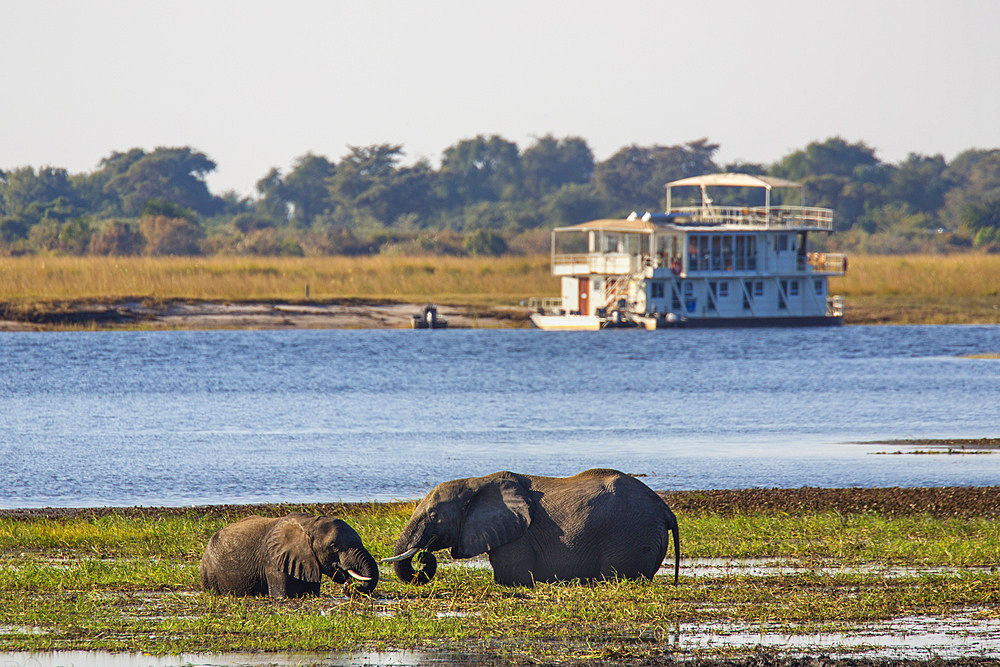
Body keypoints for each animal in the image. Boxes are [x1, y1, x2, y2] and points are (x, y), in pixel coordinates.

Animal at [199, 516, 378, 596]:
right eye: (334, 546)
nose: (349, 584)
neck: (309, 523)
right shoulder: (274, 561)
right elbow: (282, 596)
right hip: (209, 573)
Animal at [382, 468, 680, 588]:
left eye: (433, 515)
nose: (423, 557)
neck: (475, 482)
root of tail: (665, 509)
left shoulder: (518, 537)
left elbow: (510, 577)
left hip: (631, 537)